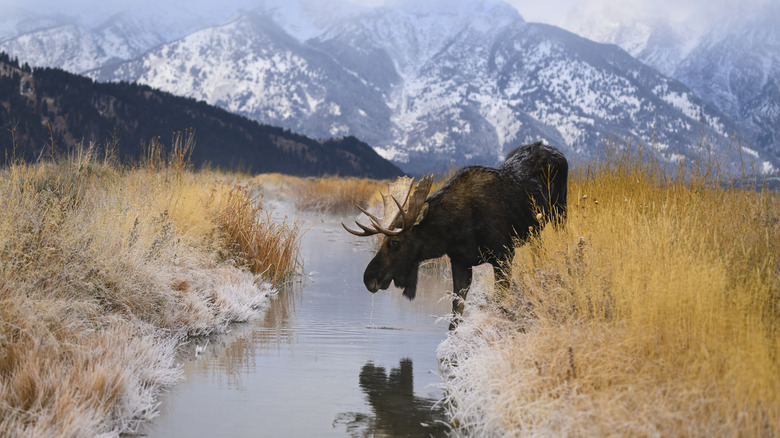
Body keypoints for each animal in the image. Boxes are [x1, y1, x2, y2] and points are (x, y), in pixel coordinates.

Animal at [343, 142, 568, 328]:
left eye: (395, 243)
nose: (368, 278)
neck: (454, 232)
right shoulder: (460, 261)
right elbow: (456, 311)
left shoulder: (504, 255)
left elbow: (498, 302)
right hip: (536, 231)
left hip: (560, 213)